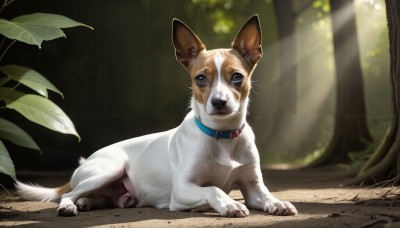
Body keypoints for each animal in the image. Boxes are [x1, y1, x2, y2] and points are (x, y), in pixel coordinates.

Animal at [14, 14, 296, 217]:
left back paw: (89, 202)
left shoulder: (253, 186)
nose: (218, 102)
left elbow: (265, 195)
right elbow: (214, 189)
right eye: (200, 79)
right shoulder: (182, 190)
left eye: (237, 77)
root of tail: (86, 161)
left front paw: (277, 202)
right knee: (67, 195)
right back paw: (71, 205)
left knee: (98, 198)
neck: (221, 134)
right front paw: (229, 204)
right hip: (109, 169)